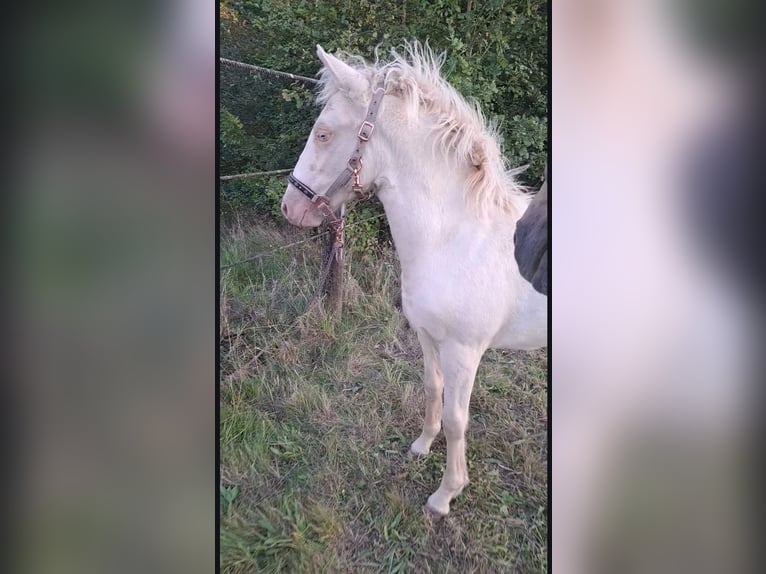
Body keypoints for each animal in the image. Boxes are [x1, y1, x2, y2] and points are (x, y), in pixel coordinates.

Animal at [281, 42, 547, 516]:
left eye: (324, 134)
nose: (289, 207)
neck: (454, 238)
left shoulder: (464, 351)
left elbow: (458, 420)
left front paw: (446, 494)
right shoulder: (427, 335)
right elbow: (430, 388)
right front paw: (422, 445)